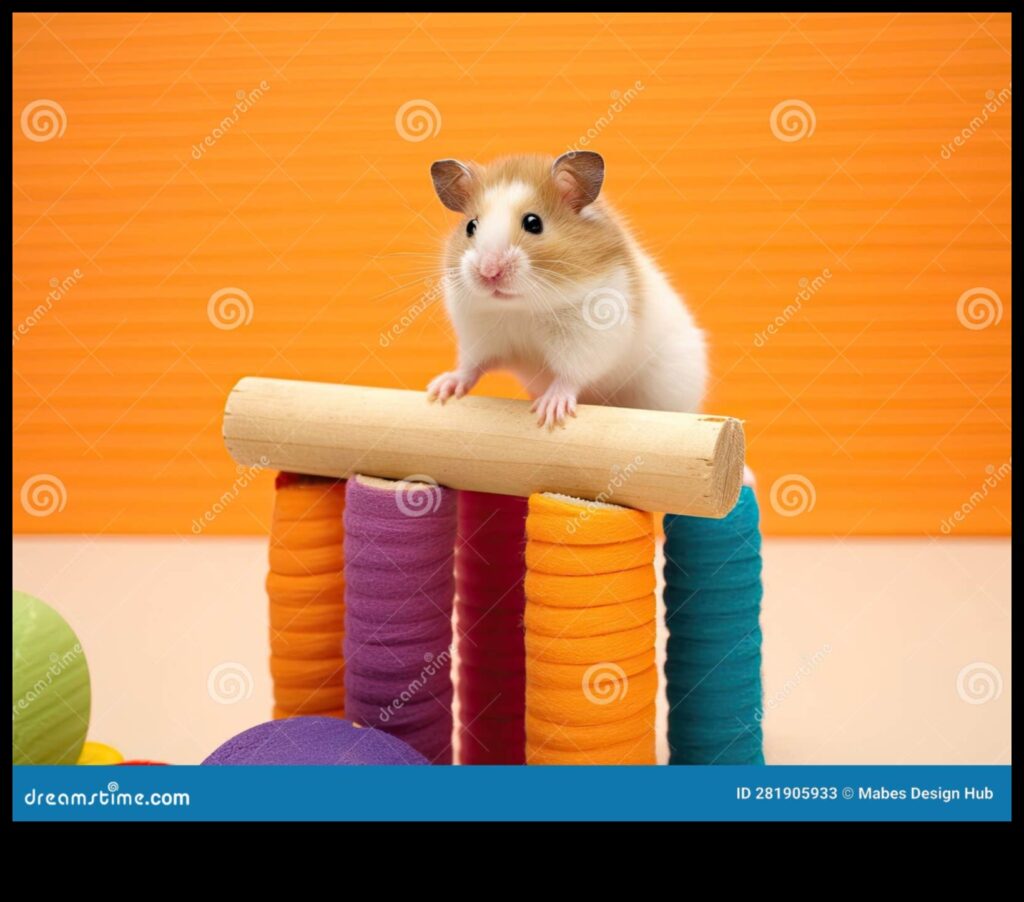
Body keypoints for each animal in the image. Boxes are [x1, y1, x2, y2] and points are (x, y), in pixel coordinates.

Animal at [426, 151, 707, 428]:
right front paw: (440, 390)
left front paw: (550, 410)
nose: (488, 272)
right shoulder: (477, 335)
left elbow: (569, 375)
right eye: (470, 226)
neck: (520, 308)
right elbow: (472, 365)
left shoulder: (590, 337)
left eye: (533, 223)